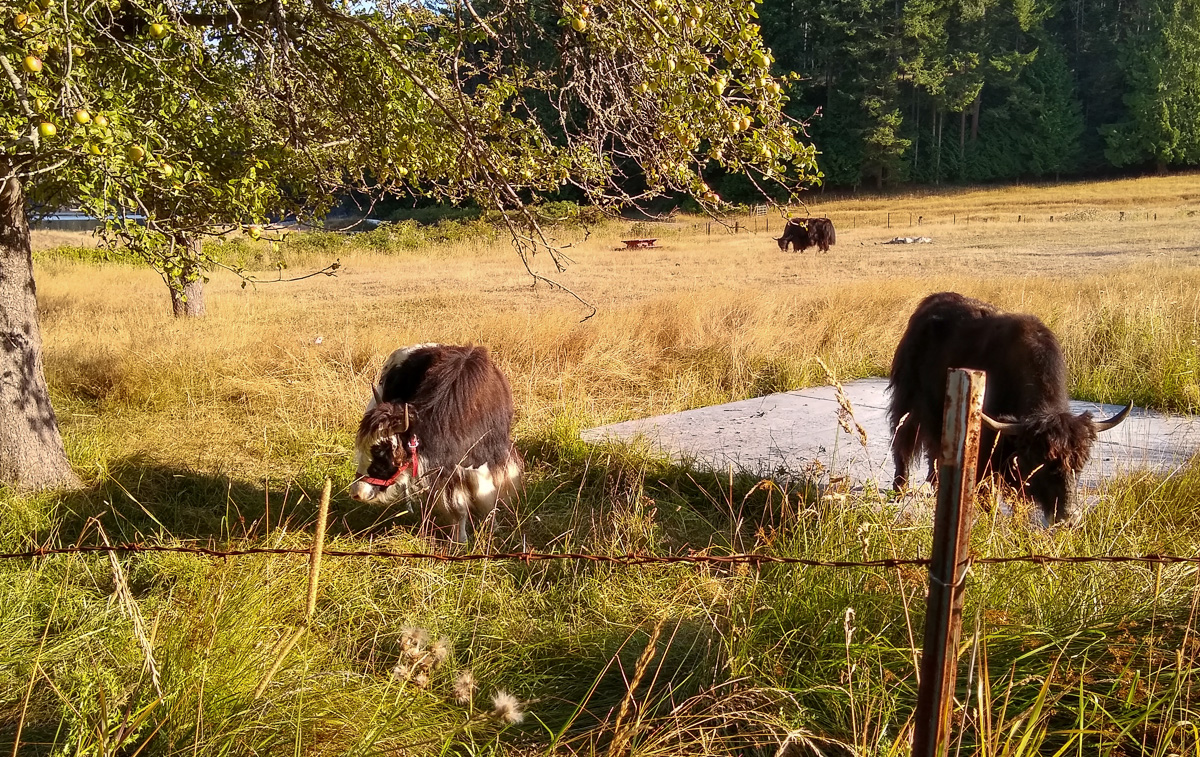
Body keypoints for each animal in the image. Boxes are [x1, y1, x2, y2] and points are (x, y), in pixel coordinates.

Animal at [349, 344, 523, 542]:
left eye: (382, 452)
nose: (357, 493)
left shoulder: (484, 462)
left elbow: (487, 497)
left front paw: (492, 529)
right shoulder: (448, 472)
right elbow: (459, 507)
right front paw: (461, 540)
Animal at [888, 292, 1131, 524]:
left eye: (1080, 461)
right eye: (1043, 461)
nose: (1069, 518)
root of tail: (927, 306)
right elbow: (987, 494)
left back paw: (935, 484)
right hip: (908, 402)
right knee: (903, 441)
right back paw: (899, 489)